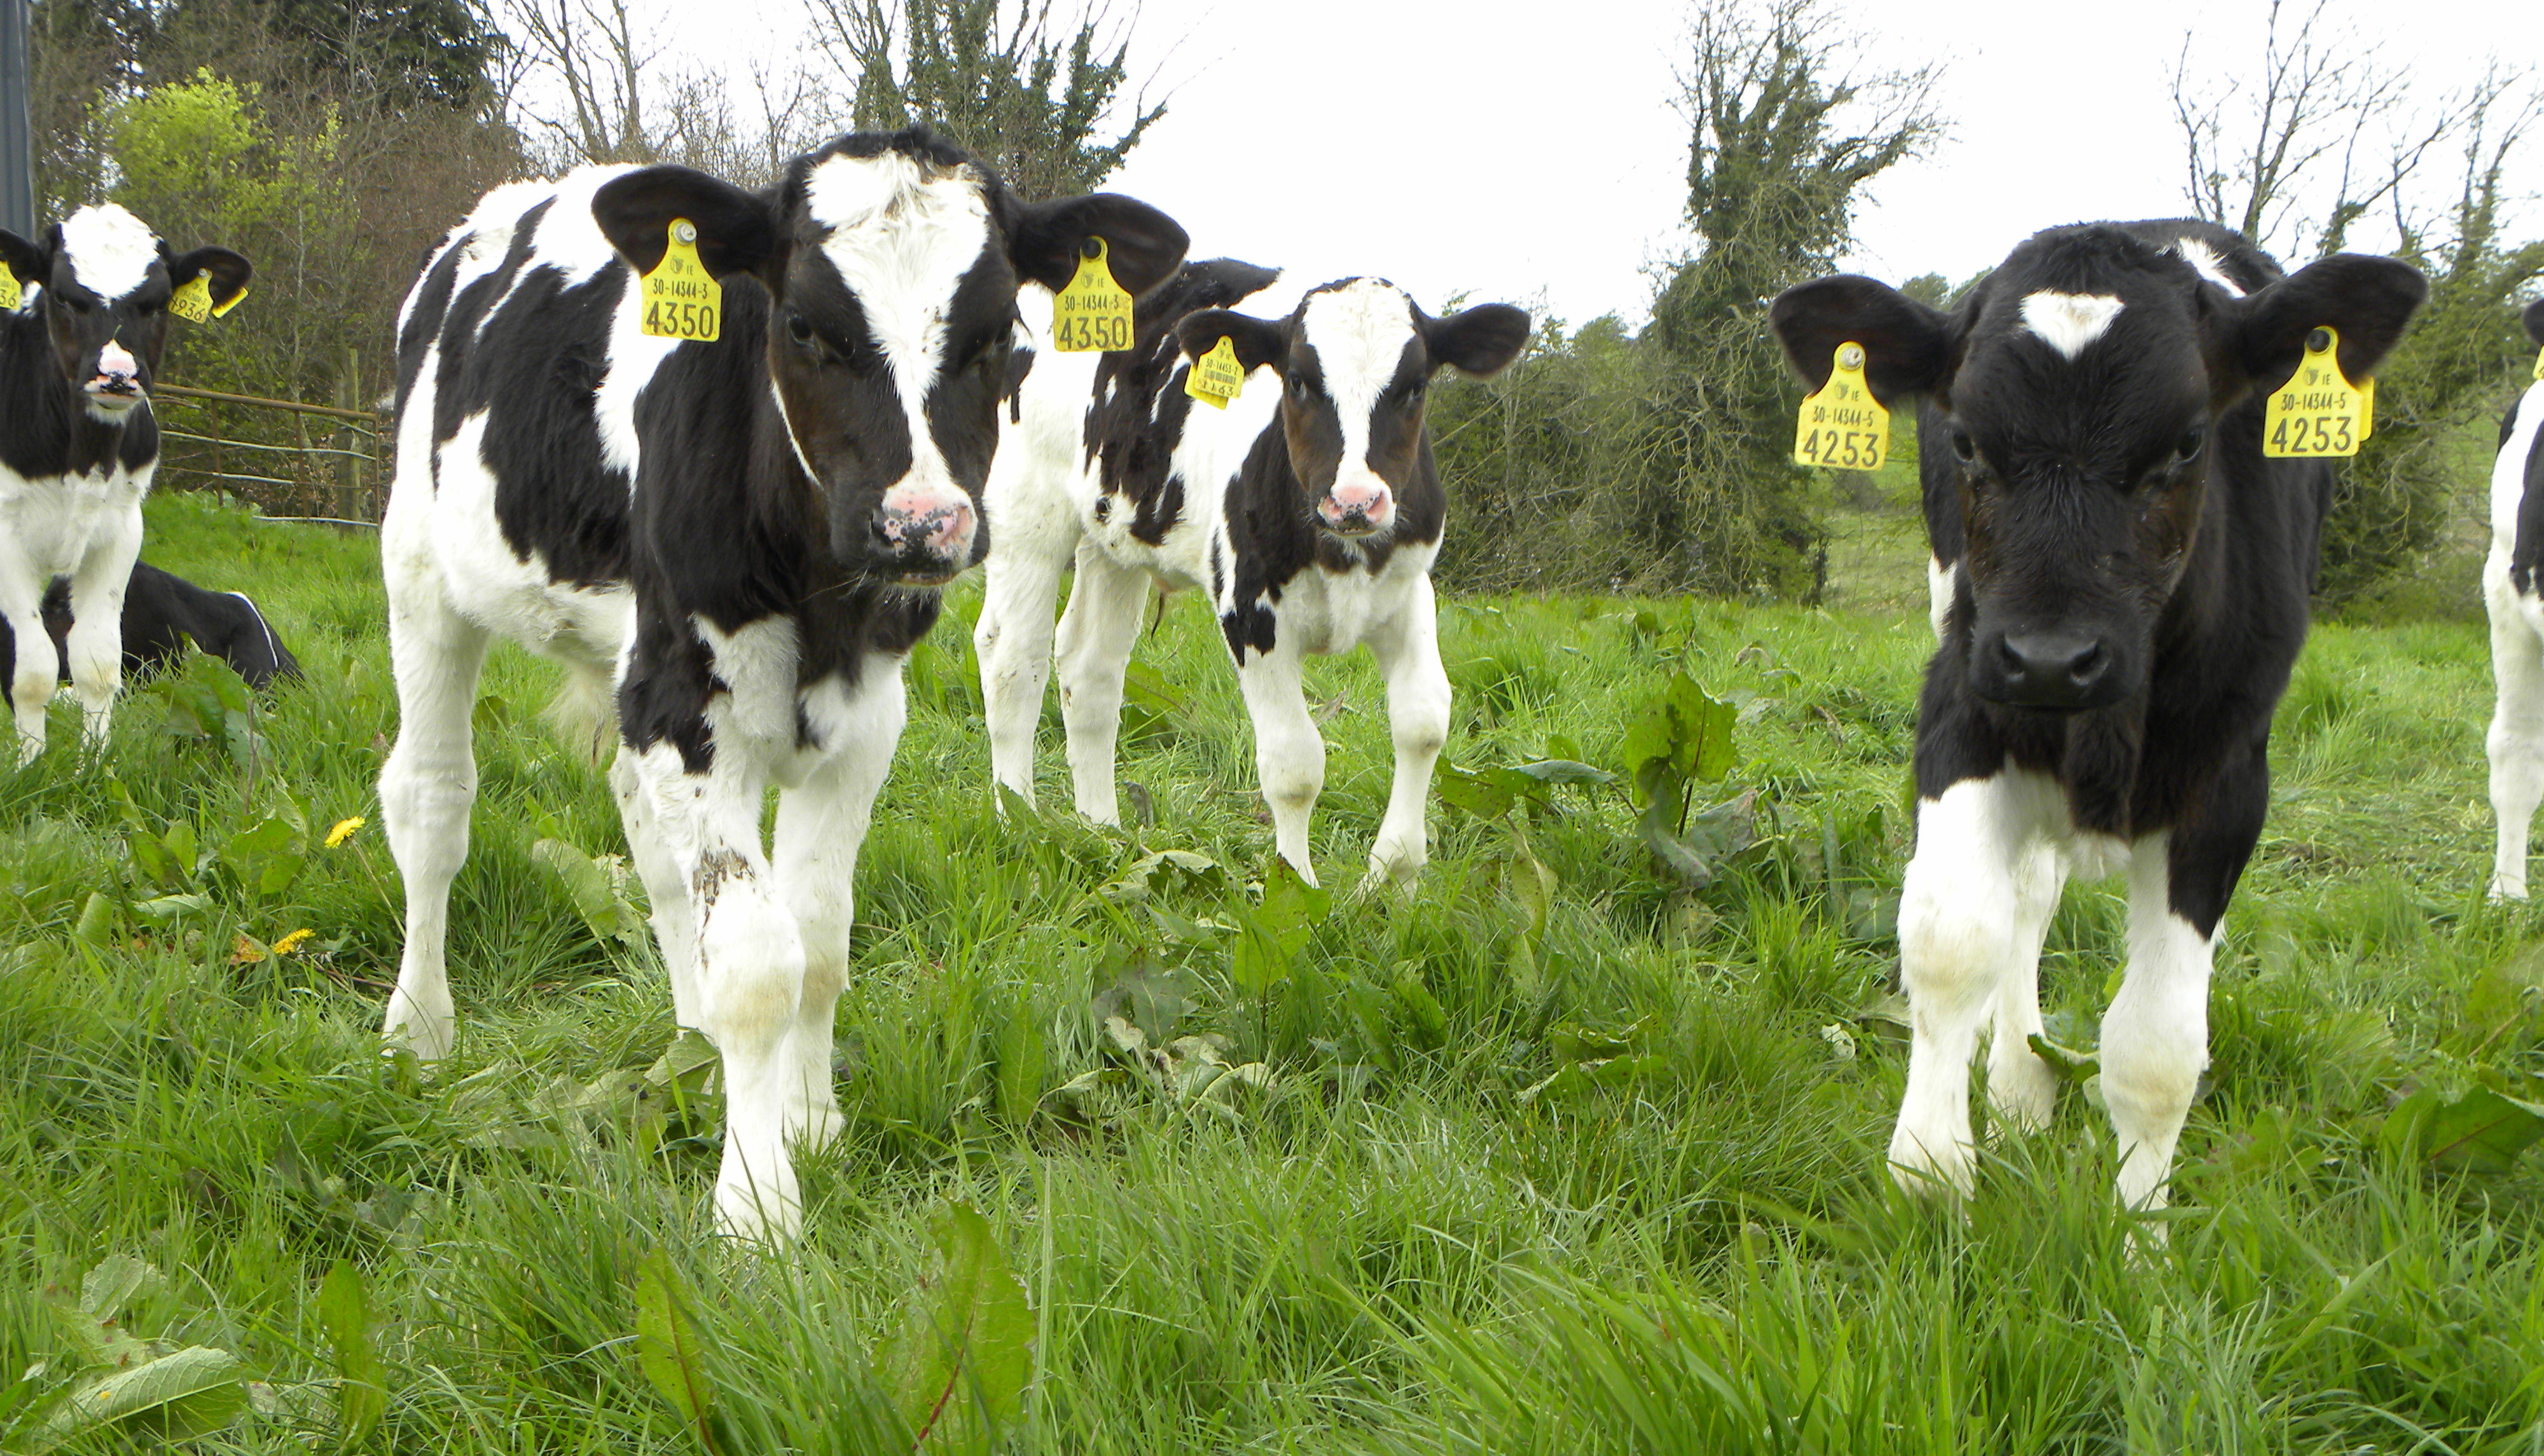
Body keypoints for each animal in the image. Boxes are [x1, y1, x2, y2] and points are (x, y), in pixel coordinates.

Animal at [0, 205, 251, 762]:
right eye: (63, 296)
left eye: (156, 303)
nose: (117, 375)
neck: (82, 458)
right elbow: (33, 671)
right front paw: (30, 767)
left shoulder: (119, 529)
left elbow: (96, 662)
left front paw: (92, 766)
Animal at [376, 128, 1185, 1241]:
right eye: (803, 324)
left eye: (999, 335)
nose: (919, 524)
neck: (815, 592)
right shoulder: (684, 700)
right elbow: (761, 961)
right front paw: (756, 1205)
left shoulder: (864, 715)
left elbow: (819, 937)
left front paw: (806, 1120)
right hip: (423, 577)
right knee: (430, 803)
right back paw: (419, 1028)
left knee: (652, 846)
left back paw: (689, 1040)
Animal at [972, 263, 1529, 890]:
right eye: (1299, 381)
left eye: (1414, 387)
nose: (1354, 502)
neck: (1339, 555)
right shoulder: (1250, 611)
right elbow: (1295, 764)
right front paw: (1297, 886)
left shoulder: (1407, 593)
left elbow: (1424, 721)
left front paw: (1396, 879)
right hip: (1026, 513)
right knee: (1013, 662)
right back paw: (1019, 820)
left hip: (1113, 536)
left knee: (1090, 669)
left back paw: (1104, 832)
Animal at [1771, 219, 2424, 1226]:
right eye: (1963, 439)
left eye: (2189, 441)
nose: (2048, 656)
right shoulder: (1959, 704)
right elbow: (1952, 939)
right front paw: (1931, 1179)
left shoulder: (2229, 784)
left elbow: (2157, 1046)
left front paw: (2139, 1237)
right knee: (2026, 897)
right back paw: (2015, 1089)